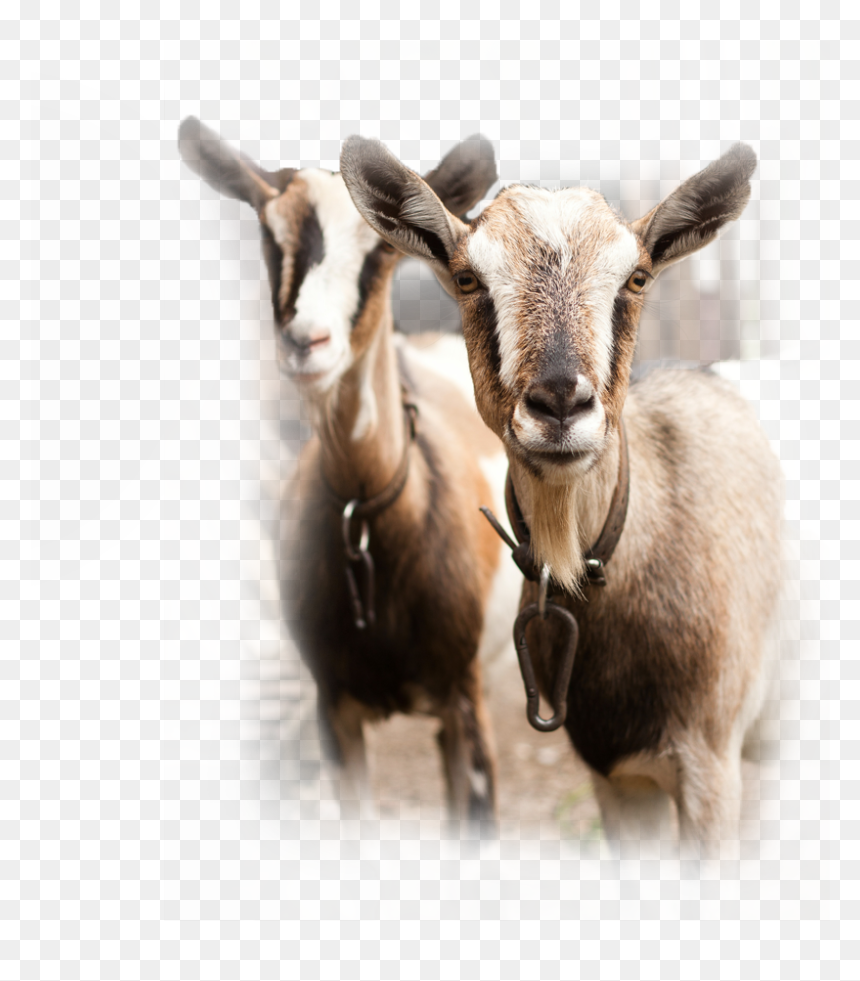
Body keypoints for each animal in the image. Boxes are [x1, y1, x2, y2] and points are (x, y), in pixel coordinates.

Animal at [178, 119, 523, 828]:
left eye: (379, 251)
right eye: (269, 234)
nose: (306, 342)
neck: (371, 512)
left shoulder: (463, 697)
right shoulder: (333, 711)